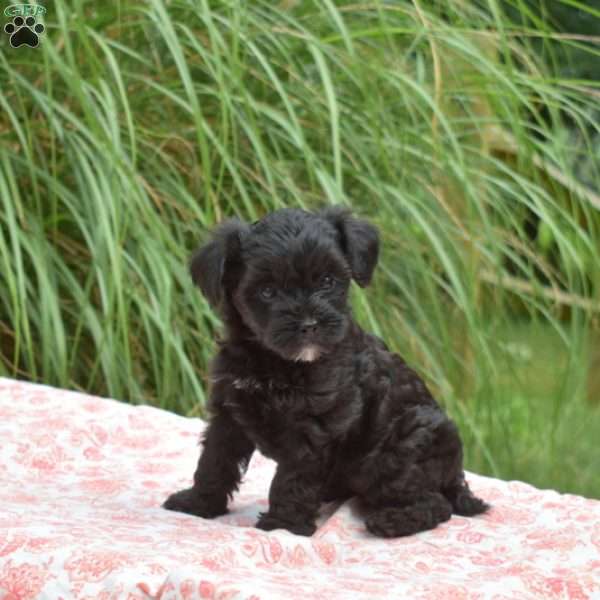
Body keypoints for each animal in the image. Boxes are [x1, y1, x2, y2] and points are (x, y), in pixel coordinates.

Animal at [163, 207, 488, 540]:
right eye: (267, 291)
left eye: (328, 280)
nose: (309, 324)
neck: (274, 361)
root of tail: (454, 475)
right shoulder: (229, 413)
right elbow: (214, 461)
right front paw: (197, 503)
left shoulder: (312, 428)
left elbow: (291, 480)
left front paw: (283, 526)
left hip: (400, 450)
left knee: (436, 504)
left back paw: (390, 522)